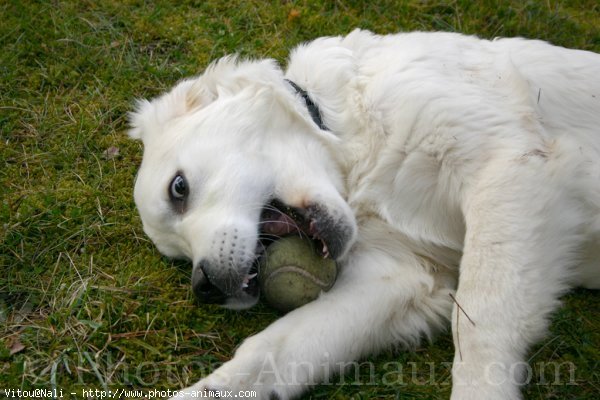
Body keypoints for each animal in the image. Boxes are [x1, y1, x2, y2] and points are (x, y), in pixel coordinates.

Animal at [127, 29, 600, 398]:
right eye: (180, 259)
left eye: (179, 188)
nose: (204, 286)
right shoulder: (400, 273)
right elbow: (268, 352)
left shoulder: (509, 166)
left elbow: (479, 324)